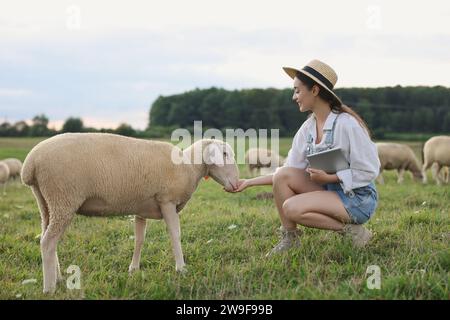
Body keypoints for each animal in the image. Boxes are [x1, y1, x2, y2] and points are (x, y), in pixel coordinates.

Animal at [22, 132, 239, 292]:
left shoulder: (141, 208)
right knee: (48, 242)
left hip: (47, 202)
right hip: (63, 198)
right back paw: (49, 288)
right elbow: (175, 235)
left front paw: (133, 269)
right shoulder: (167, 201)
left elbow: (139, 239)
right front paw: (181, 269)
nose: (237, 185)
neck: (188, 166)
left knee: (47, 237)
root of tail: (30, 164)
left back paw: (57, 278)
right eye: (225, 154)